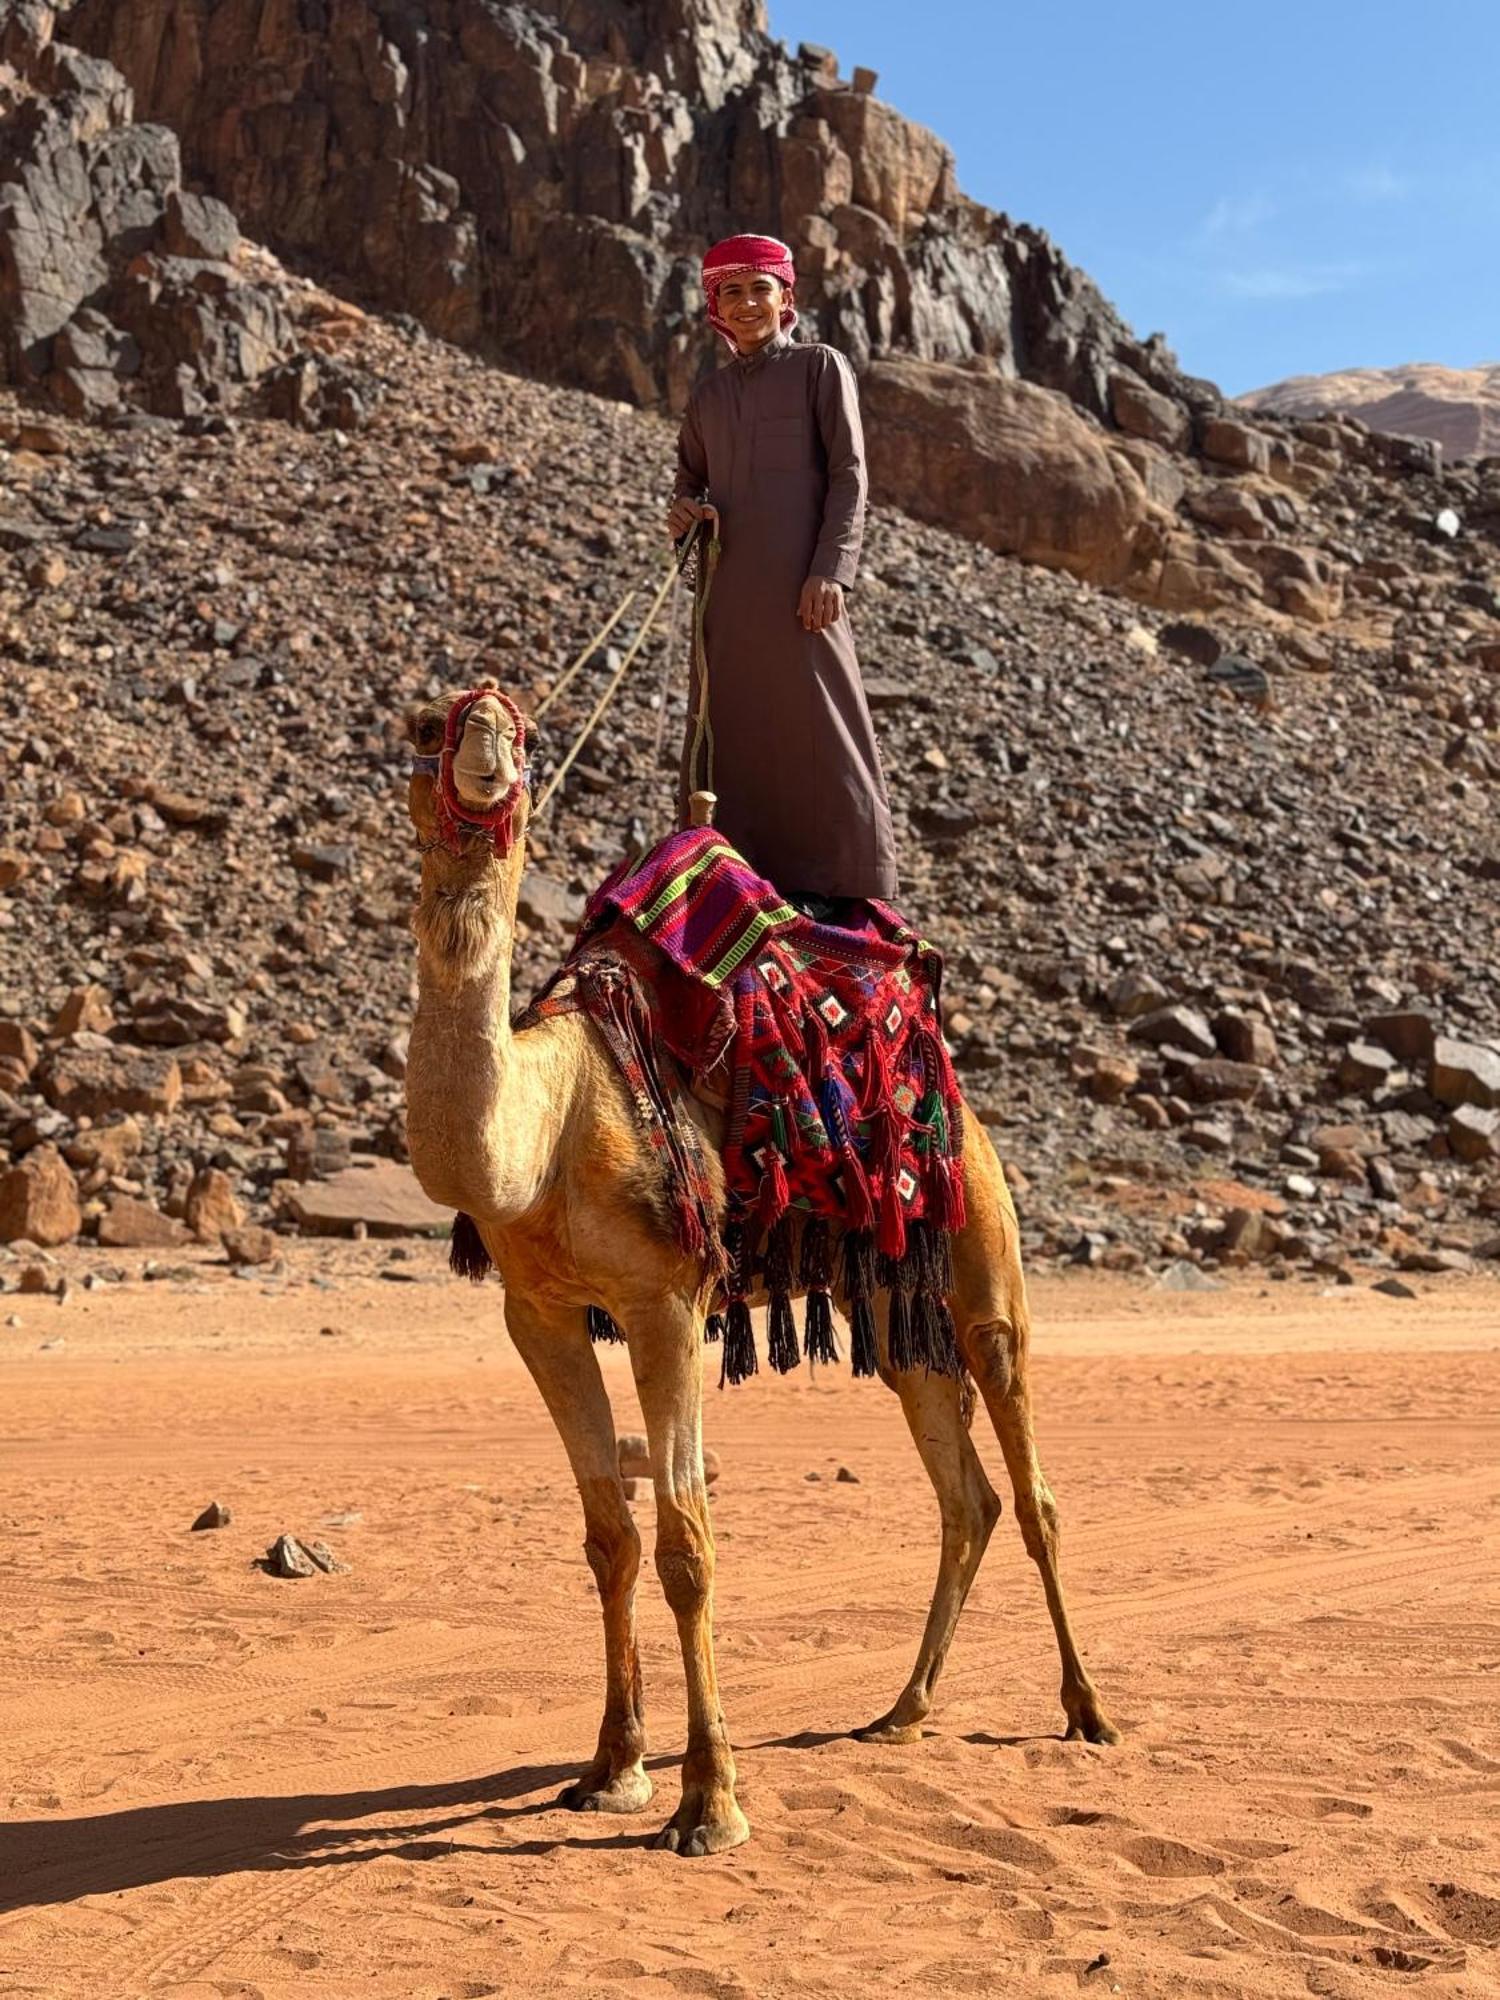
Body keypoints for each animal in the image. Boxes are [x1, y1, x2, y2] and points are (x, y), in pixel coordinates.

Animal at [400, 684, 1120, 1856]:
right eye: (425, 724)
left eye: (526, 728)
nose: (487, 743)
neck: (549, 1123)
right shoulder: (537, 1315)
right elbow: (609, 1538)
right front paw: (612, 1768)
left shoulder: (666, 1301)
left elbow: (687, 1543)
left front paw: (710, 1802)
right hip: (890, 1305)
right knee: (965, 1494)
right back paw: (901, 1710)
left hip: (982, 1264)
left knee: (1031, 1484)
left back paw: (1088, 1710)